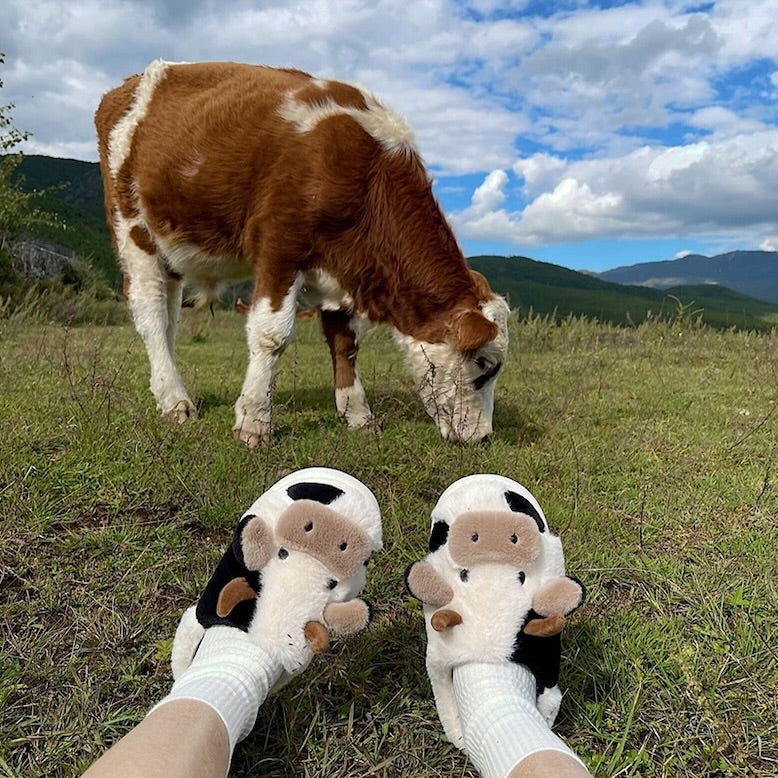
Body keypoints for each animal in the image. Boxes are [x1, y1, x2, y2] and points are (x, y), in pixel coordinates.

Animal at [95, 60, 509, 446]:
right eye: (484, 363)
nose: (484, 438)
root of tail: (126, 86)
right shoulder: (280, 244)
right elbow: (271, 335)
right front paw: (254, 422)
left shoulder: (342, 265)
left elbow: (346, 343)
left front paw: (358, 415)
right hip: (133, 229)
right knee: (150, 313)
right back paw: (175, 400)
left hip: (172, 250)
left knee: (169, 320)